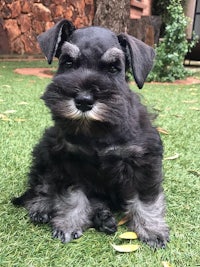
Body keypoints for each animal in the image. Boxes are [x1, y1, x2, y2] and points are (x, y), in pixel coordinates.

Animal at [12, 18, 169, 249]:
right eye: (68, 62)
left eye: (114, 68)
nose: (84, 100)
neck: (98, 131)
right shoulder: (69, 160)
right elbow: (72, 196)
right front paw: (68, 224)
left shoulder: (143, 161)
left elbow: (146, 199)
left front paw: (152, 230)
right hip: (45, 149)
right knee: (42, 183)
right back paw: (42, 207)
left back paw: (103, 217)